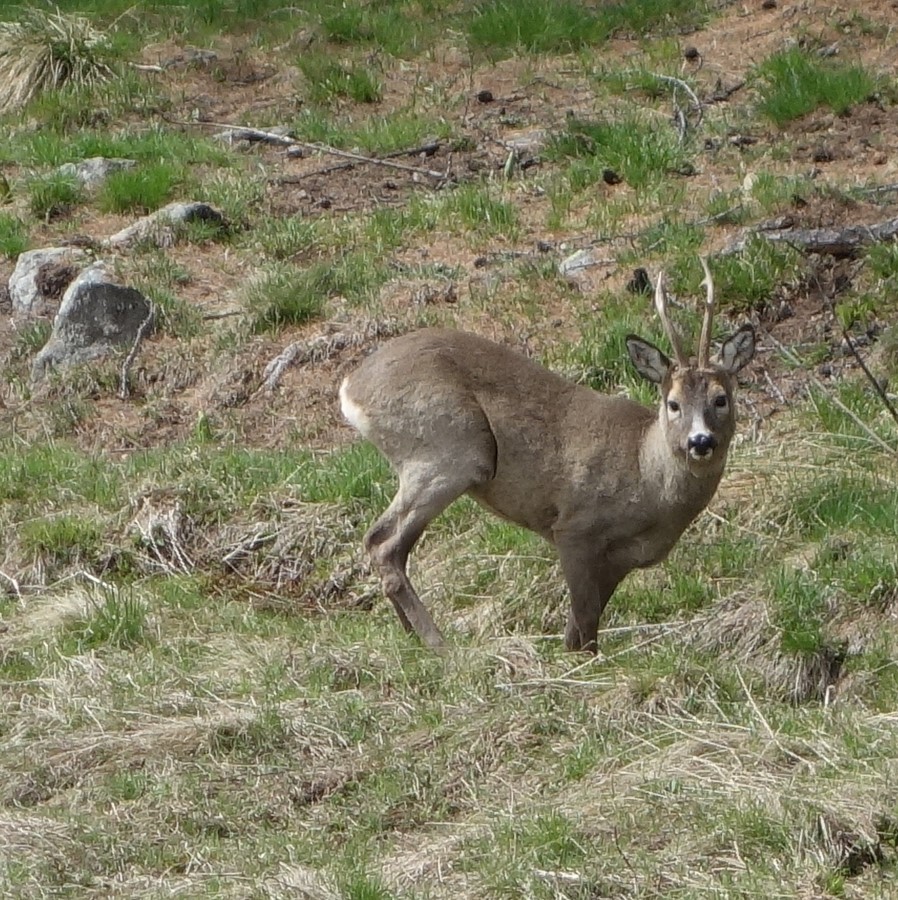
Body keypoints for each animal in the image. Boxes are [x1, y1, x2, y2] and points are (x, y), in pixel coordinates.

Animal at [340, 256, 752, 652]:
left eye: (721, 398)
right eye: (673, 403)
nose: (700, 441)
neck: (646, 472)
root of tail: (351, 387)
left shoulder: (618, 561)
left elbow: (581, 629)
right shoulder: (575, 527)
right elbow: (583, 630)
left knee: (392, 547)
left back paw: (413, 638)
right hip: (449, 450)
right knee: (383, 542)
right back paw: (440, 645)